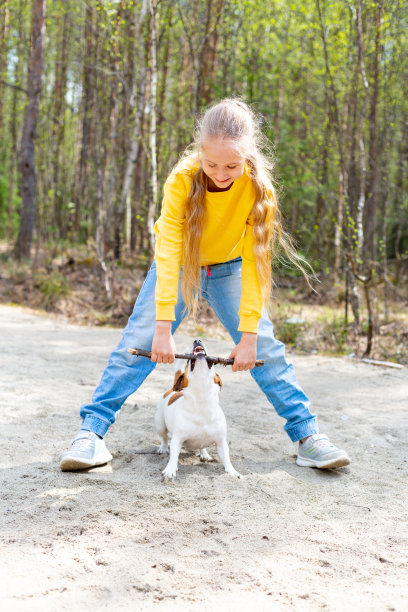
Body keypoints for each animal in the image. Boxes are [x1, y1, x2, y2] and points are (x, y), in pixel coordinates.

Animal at [155, 340, 241, 478]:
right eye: (187, 361)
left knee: (202, 446)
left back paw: (204, 454)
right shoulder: (177, 439)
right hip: (160, 424)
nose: (197, 340)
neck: (202, 402)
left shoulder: (221, 442)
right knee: (164, 438)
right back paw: (163, 448)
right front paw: (170, 469)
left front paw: (233, 472)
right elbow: (173, 455)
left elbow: (227, 458)